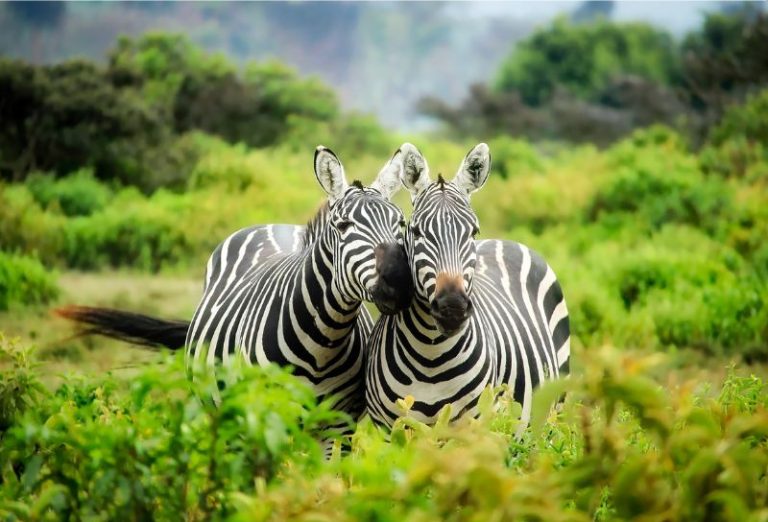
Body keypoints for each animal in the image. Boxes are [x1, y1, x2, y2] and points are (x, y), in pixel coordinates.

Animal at [59, 145, 414, 426]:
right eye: (343, 226)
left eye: (400, 223)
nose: (399, 280)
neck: (323, 341)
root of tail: (273, 224)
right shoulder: (265, 415)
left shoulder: (337, 426)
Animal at [366, 141, 568, 426]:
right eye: (416, 232)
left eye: (473, 231)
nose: (452, 308)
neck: (430, 358)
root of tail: (505, 241)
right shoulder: (389, 427)